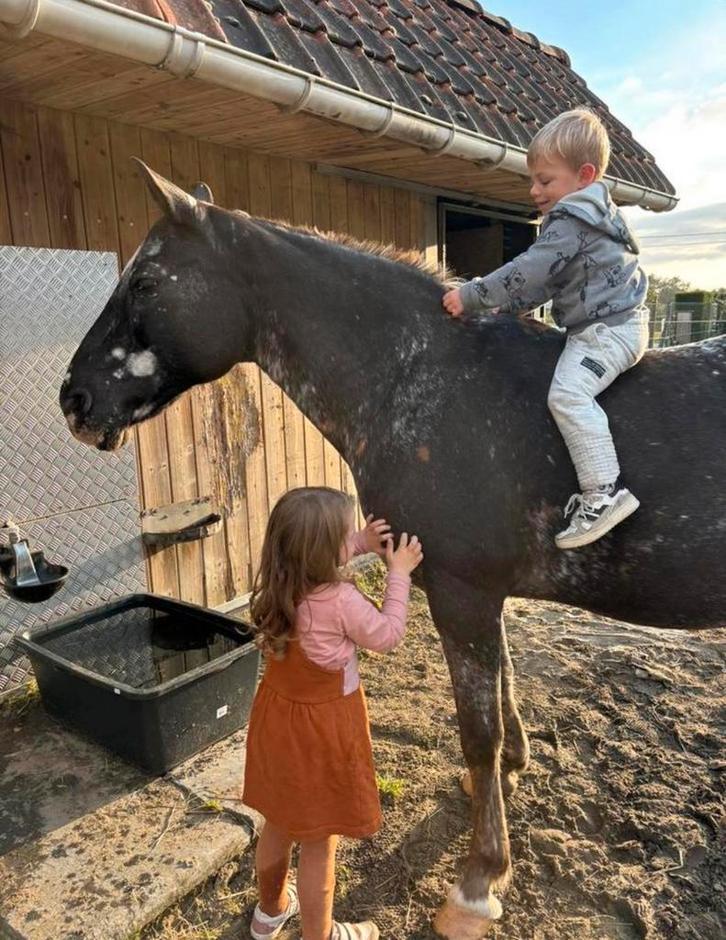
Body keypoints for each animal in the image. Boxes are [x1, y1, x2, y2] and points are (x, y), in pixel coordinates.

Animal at [60, 164, 726, 939]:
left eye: (144, 282)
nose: (74, 399)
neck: (427, 384)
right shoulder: (482, 597)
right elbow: (502, 697)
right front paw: (509, 779)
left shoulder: (462, 593)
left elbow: (478, 730)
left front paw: (478, 881)